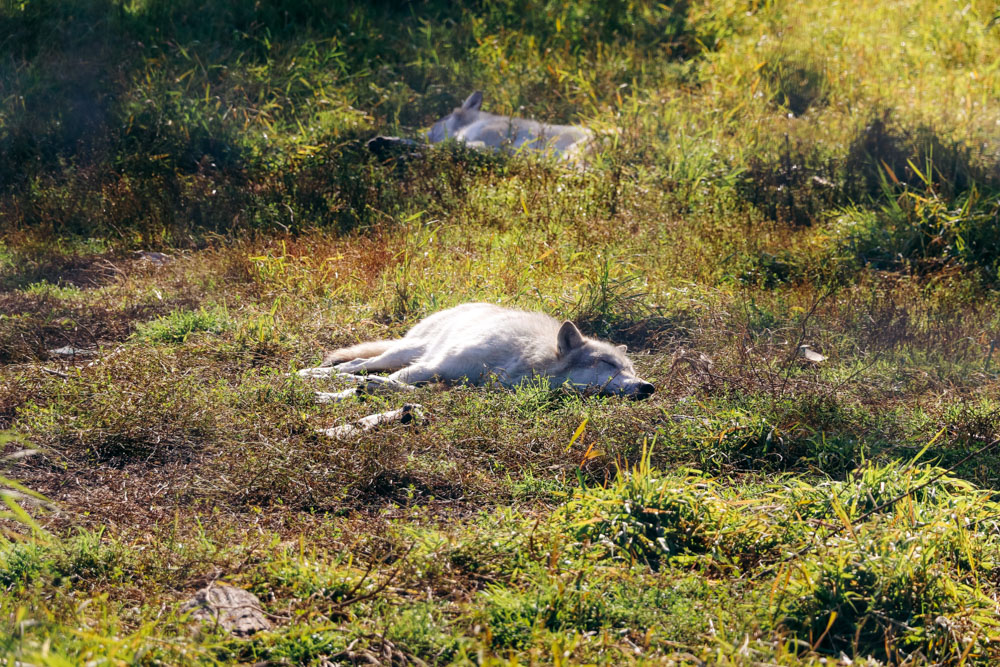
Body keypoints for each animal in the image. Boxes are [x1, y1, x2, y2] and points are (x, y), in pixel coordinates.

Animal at [296, 304, 656, 402]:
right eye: (607, 363)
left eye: (632, 371)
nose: (648, 387)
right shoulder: (433, 365)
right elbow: (381, 382)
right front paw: (328, 395)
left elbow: (402, 387)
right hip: (402, 354)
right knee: (357, 363)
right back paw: (305, 374)